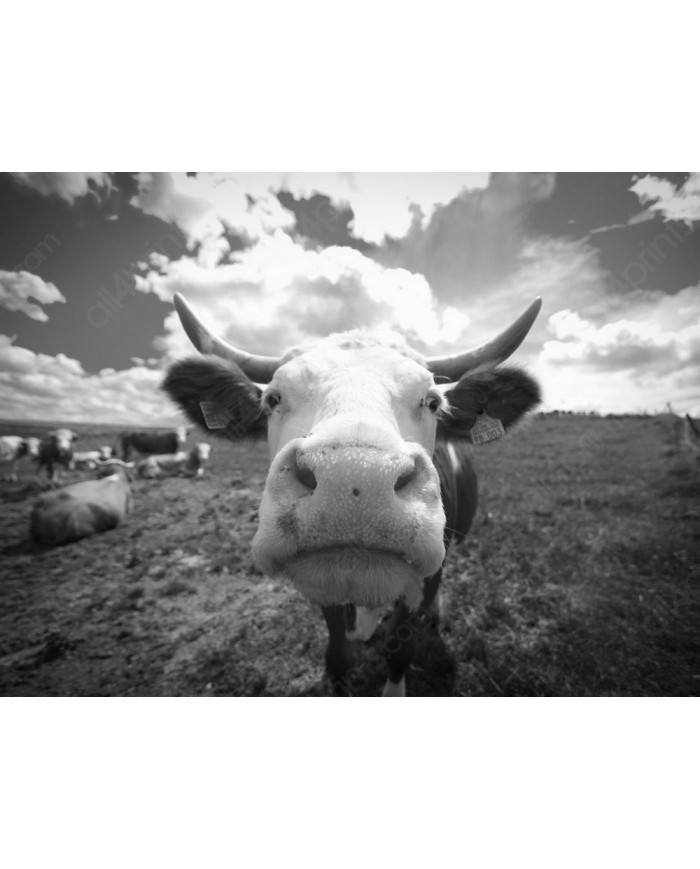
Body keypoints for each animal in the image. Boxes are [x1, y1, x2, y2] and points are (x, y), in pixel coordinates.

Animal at [162, 293, 542, 696]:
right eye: (272, 399)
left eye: (432, 402)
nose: (354, 478)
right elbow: (339, 653)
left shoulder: (422, 581)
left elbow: (399, 648)